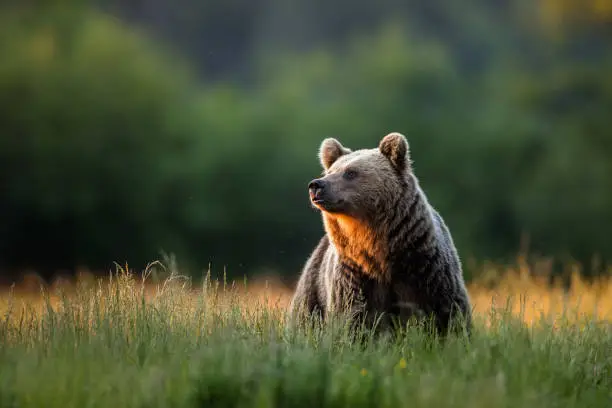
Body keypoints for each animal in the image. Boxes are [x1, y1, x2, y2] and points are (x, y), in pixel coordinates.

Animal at [288, 132, 474, 336]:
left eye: (350, 172)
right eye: (329, 172)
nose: (316, 185)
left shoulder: (425, 269)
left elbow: (449, 313)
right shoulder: (354, 276)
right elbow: (351, 318)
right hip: (313, 286)